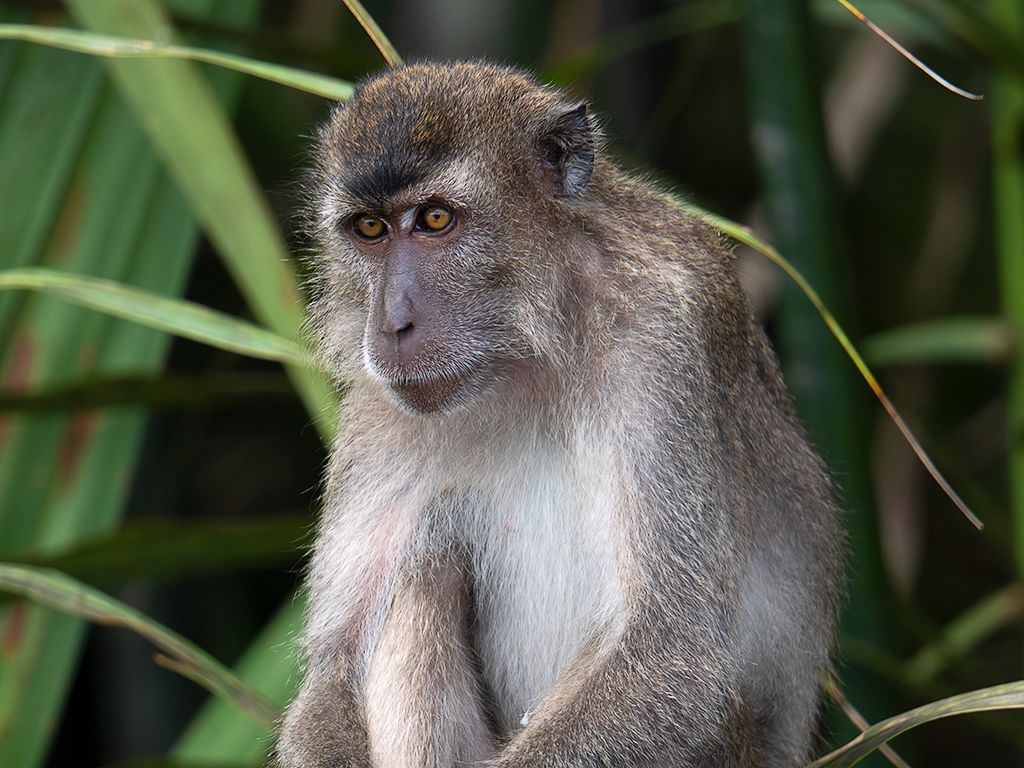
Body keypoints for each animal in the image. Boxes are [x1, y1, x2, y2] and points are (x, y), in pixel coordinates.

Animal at [276, 60, 844, 768]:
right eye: (370, 230)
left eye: (435, 219)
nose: (394, 324)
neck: (532, 346)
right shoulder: (381, 404)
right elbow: (334, 670)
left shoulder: (666, 341)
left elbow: (670, 654)